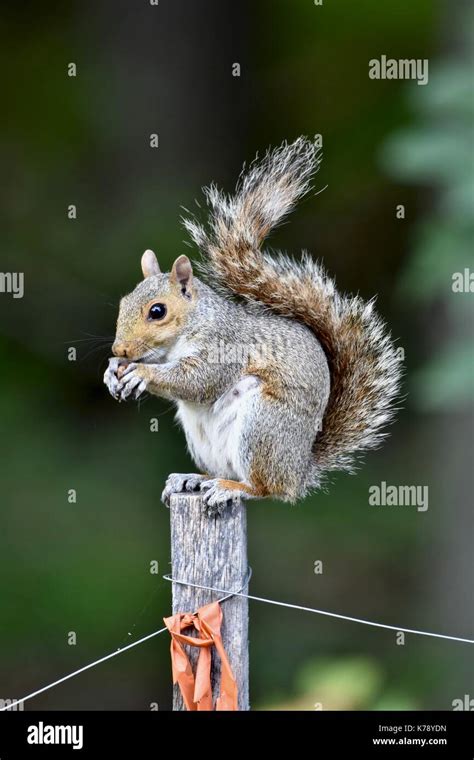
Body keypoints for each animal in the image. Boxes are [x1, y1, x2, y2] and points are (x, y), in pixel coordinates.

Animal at [103, 139, 400, 512]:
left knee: (265, 488)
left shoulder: (223, 346)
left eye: (157, 311)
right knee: (223, 470)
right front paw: (113, 371)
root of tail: (300, 471)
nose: (119, 348)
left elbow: (199, 379)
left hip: (263, 425)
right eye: (122, 303)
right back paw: (193, 478)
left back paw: (232, 488)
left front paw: (141, 373)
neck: (191, 327)